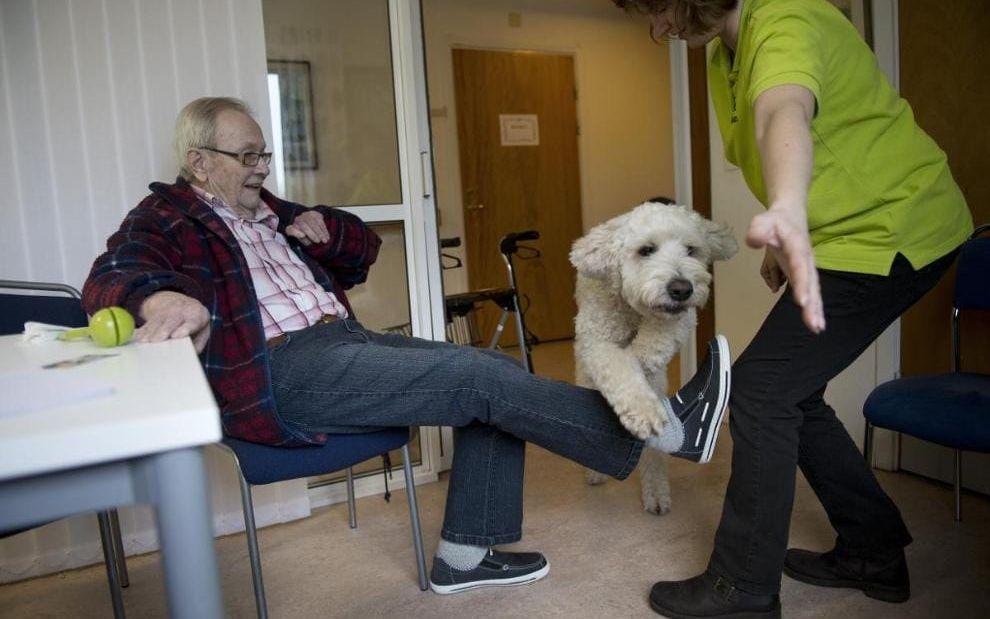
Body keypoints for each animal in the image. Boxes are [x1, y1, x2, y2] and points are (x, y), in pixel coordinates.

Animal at [569, 200, 737, 514]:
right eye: (646, 250)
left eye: (691, 250)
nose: (681, 289)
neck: (633, 311)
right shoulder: (597, 341)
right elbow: (618, 365)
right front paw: (642, 410)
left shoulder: (681, 319)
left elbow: (652, 345)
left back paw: (656, 491)